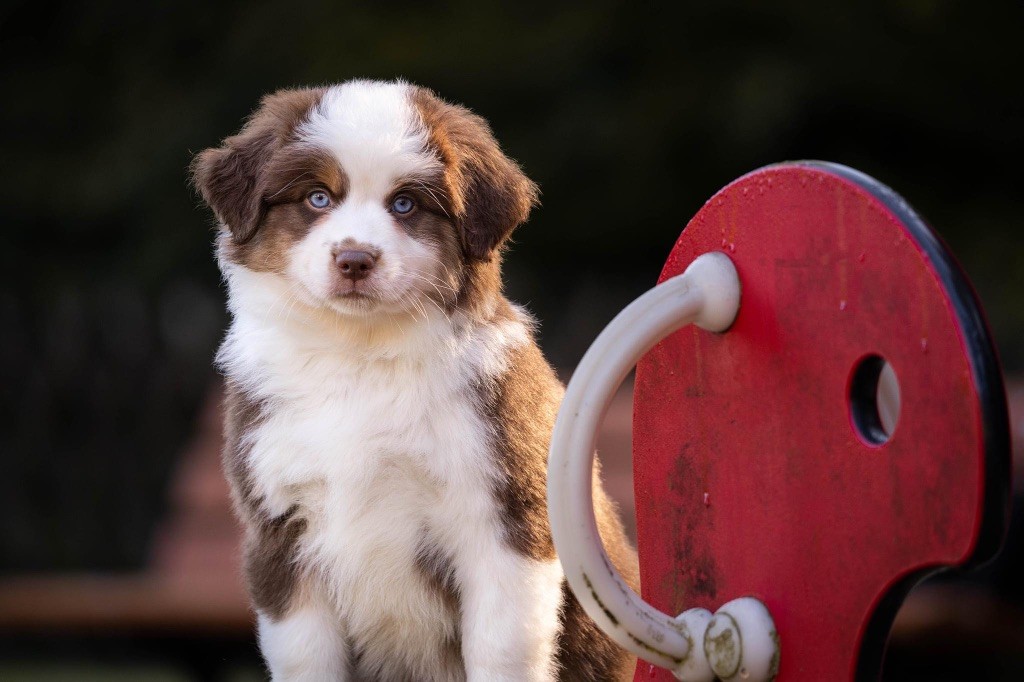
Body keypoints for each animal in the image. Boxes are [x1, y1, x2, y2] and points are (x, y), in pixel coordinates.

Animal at [192, 80, 634, 679]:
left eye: (405, 204)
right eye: (317, 198)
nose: (355, 259)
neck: (358, 356)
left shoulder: (504, 522)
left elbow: (500, 650)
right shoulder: (280, 529)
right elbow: (308, 657)